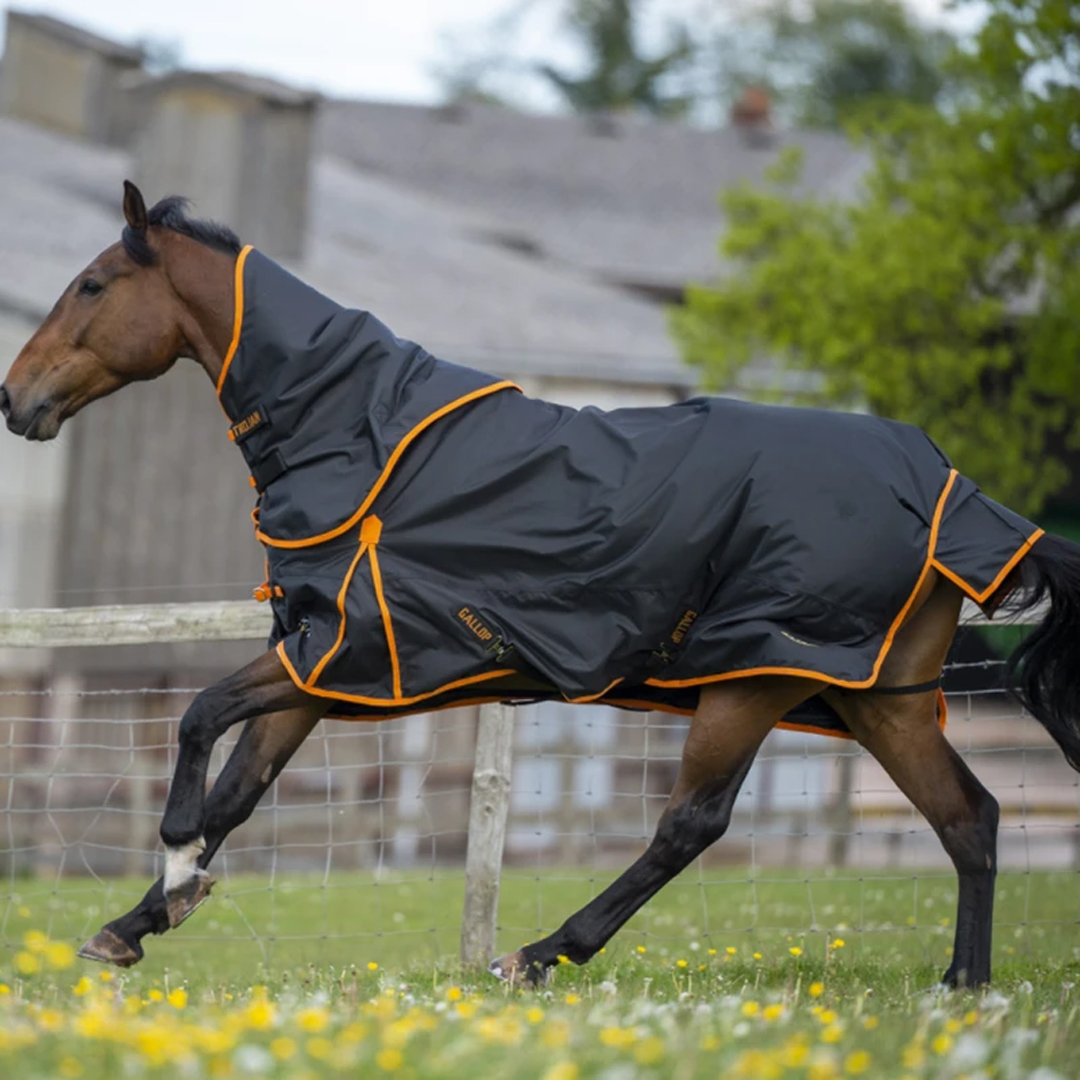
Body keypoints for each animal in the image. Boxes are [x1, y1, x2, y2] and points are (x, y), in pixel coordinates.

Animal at [3, 181, 1079, 990]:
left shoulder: (344, 654)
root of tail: (950, 487)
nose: (16, 399)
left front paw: (177, 871)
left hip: (756, 679)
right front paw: (138, 921)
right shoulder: (318, 666)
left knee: (691, 825)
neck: (360, 437)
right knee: (969, 819)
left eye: (92, 284)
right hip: (875, 698)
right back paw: (964, 985)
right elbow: (239, 788)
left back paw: (539, 952)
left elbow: (196, 727)